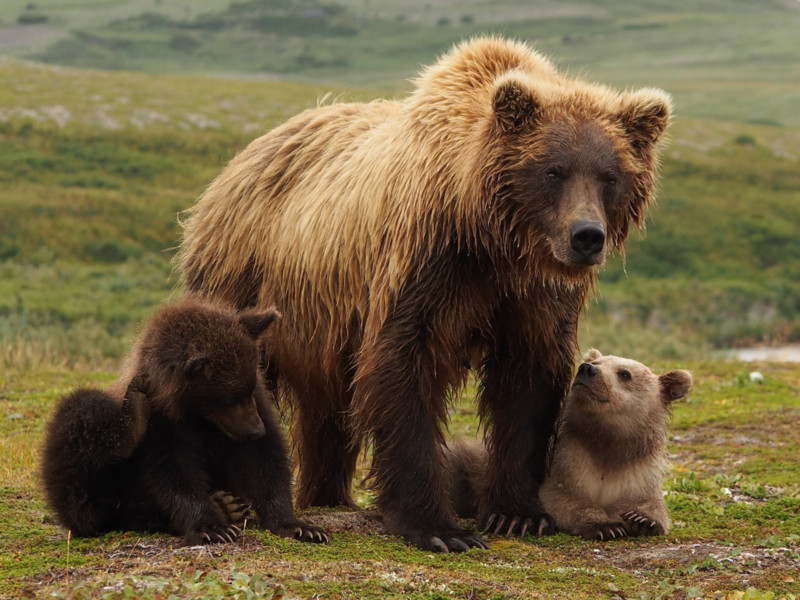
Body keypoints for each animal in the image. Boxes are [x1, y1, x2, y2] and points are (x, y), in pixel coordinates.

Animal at [178, 38, 672, 552]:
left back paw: (329, 494)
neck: (491, 239)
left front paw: (518, 513)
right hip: (248, 279)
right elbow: (404, 364)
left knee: (327, 411)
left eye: (611, 175)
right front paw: (439, 527)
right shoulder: (427, 258)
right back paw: (236, 498)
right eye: (554, 170)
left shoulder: (534, 294)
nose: (586, 236)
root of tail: (241, 158)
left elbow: (530, 380)